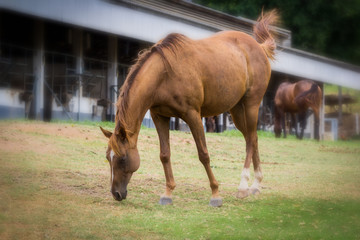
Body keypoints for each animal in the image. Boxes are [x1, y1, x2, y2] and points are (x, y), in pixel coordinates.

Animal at [100, 10, 278, 206]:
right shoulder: (159, 116)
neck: (165, 74)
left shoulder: (193, 115)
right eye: (108, 157)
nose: (116, 193)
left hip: (251, 104)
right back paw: (255, 185)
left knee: (250, 140)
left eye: (122, 158)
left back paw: (243, 186)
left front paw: (215, 194)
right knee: (252, 138)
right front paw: (168, 193)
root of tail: (259, 47)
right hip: (237, 110)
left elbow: (203, 154)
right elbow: (165, 154)